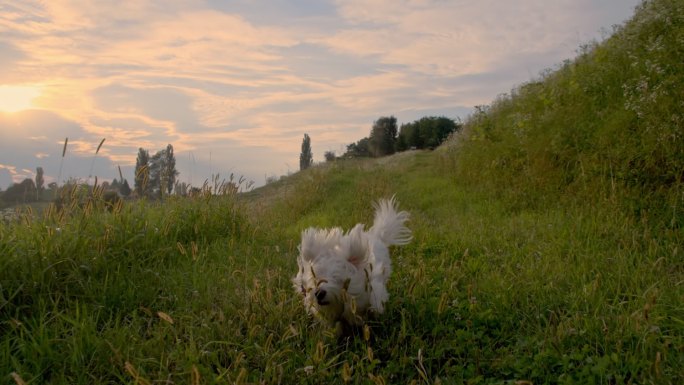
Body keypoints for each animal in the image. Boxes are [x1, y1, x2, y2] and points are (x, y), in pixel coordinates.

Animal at [292, 196, 412, 326]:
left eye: (336, 277)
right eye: (314, 278)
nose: (319, 293)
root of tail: (376, 235)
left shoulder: (373, 287)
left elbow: (375, 303)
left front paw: (377, 312)